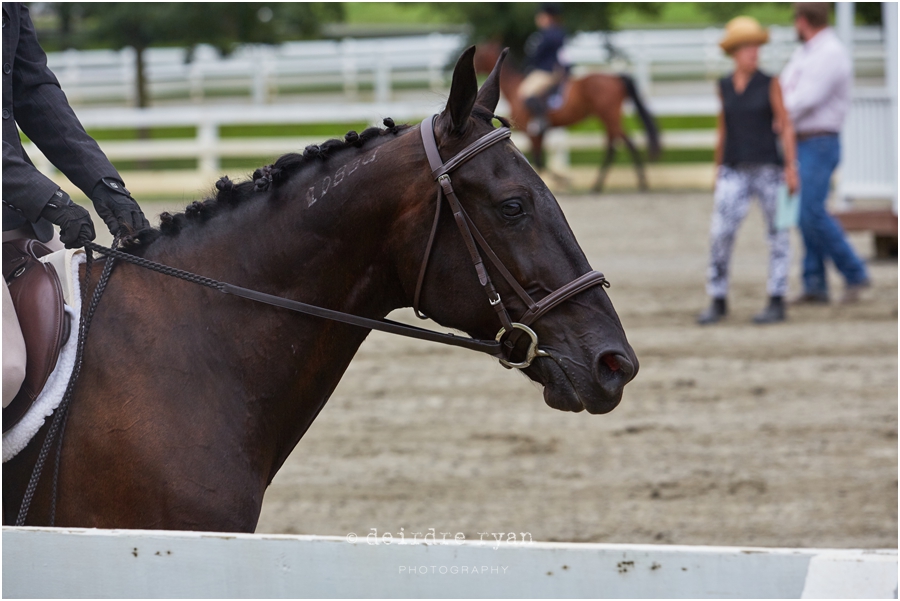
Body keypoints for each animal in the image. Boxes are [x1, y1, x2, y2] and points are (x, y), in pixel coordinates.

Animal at [472, 41, 660, 191]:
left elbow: (538, 160)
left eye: (479, 54)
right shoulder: (540, 132)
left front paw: (562, 180)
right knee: (621, 142)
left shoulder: (532, 131)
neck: (516, 89)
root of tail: (616, 77)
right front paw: (561, 180)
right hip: (609, 117)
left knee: (619, 144)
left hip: (608, 115)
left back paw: (608, 184)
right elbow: (538, 160)